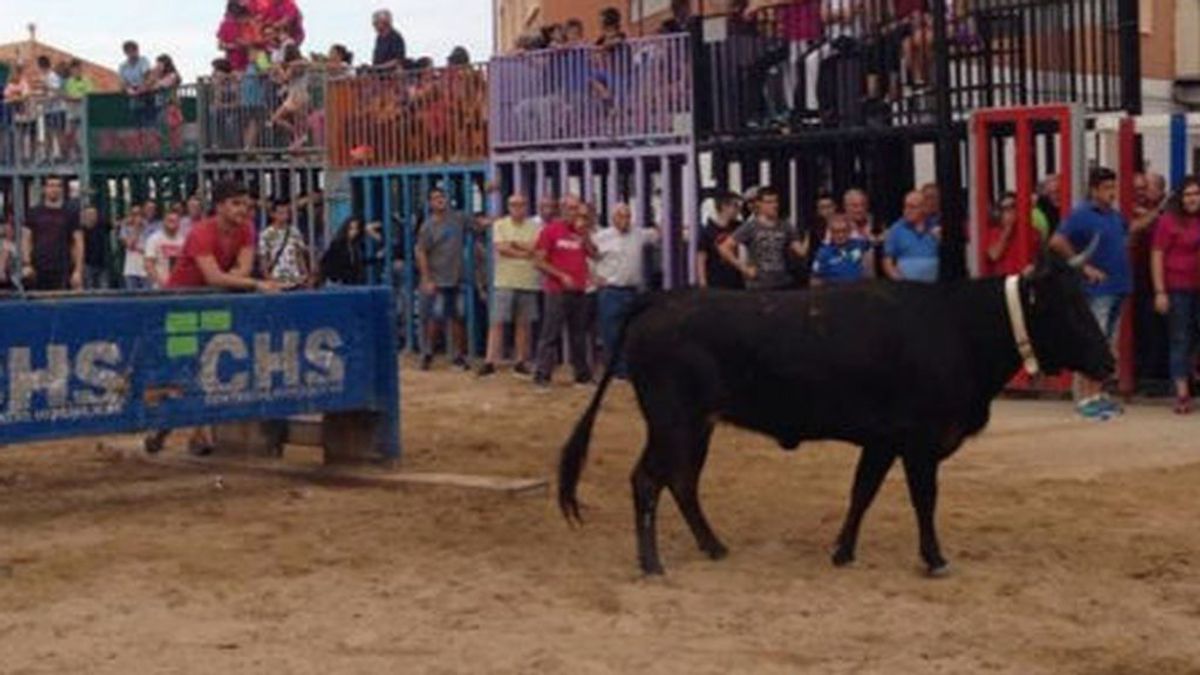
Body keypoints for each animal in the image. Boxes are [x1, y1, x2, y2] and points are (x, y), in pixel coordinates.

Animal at [556, 254, 1108, 576]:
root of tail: (660, 299)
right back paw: (652, 563)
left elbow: (862, 492)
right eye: (1067, 308)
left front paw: (843, 550)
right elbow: (923, 500)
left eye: (1086, 301)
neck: (957, 326)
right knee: (649, 481)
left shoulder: (884, 441)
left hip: (695, 427)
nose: (1108, 362)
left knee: (682, 482)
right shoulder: (920, 442)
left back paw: (713, 546)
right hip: (674, 422)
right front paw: (934, 558)